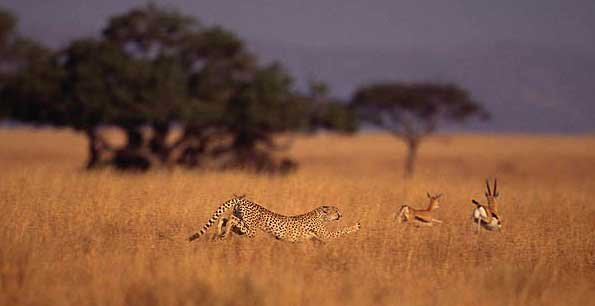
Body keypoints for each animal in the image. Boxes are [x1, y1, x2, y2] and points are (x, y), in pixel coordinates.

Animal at [189, 195, 360, 243]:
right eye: (336, 210)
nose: (341, 215)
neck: (320, 215)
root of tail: (242, 200)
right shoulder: (325, 235)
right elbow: (339, 232)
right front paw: (356, 226)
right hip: (251, 230)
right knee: (231, 219)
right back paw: (223, 234)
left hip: (242, 226)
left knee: (225, 218)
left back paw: (221, 233)